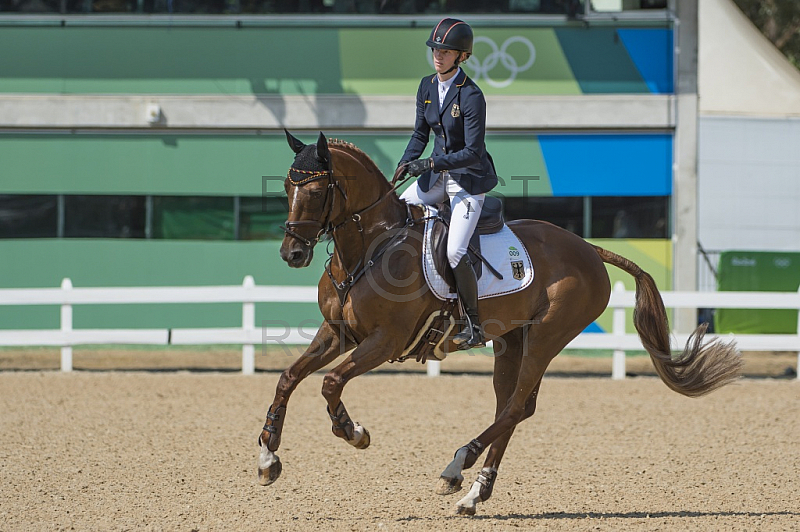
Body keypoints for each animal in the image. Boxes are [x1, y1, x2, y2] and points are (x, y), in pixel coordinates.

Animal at [258, 132, 744, 516]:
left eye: (317, 191)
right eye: (286, 186)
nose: (291, 253)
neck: (370, 249)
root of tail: (588, 248)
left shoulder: (384, 341)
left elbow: (330, 382)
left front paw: (353, 432)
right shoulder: (338, 333)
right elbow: (289, 377)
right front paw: (267, 456)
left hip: (546, 337)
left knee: (514, 407)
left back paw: (457, 467)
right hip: (511, 339)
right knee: (514, 407)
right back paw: (472, 492)